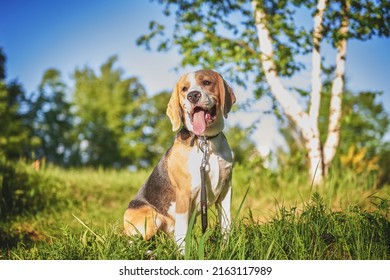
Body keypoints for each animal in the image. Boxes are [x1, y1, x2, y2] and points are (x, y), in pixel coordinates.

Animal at [123, 69, 236, 250]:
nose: (193, 96)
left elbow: (226, 225)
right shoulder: (183, 196)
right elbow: (182, 235)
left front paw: (226, 249)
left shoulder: (225, 191)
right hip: (153, 217)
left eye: (206, 82)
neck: (206, 141)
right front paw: (184, 254)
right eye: (184, 89)